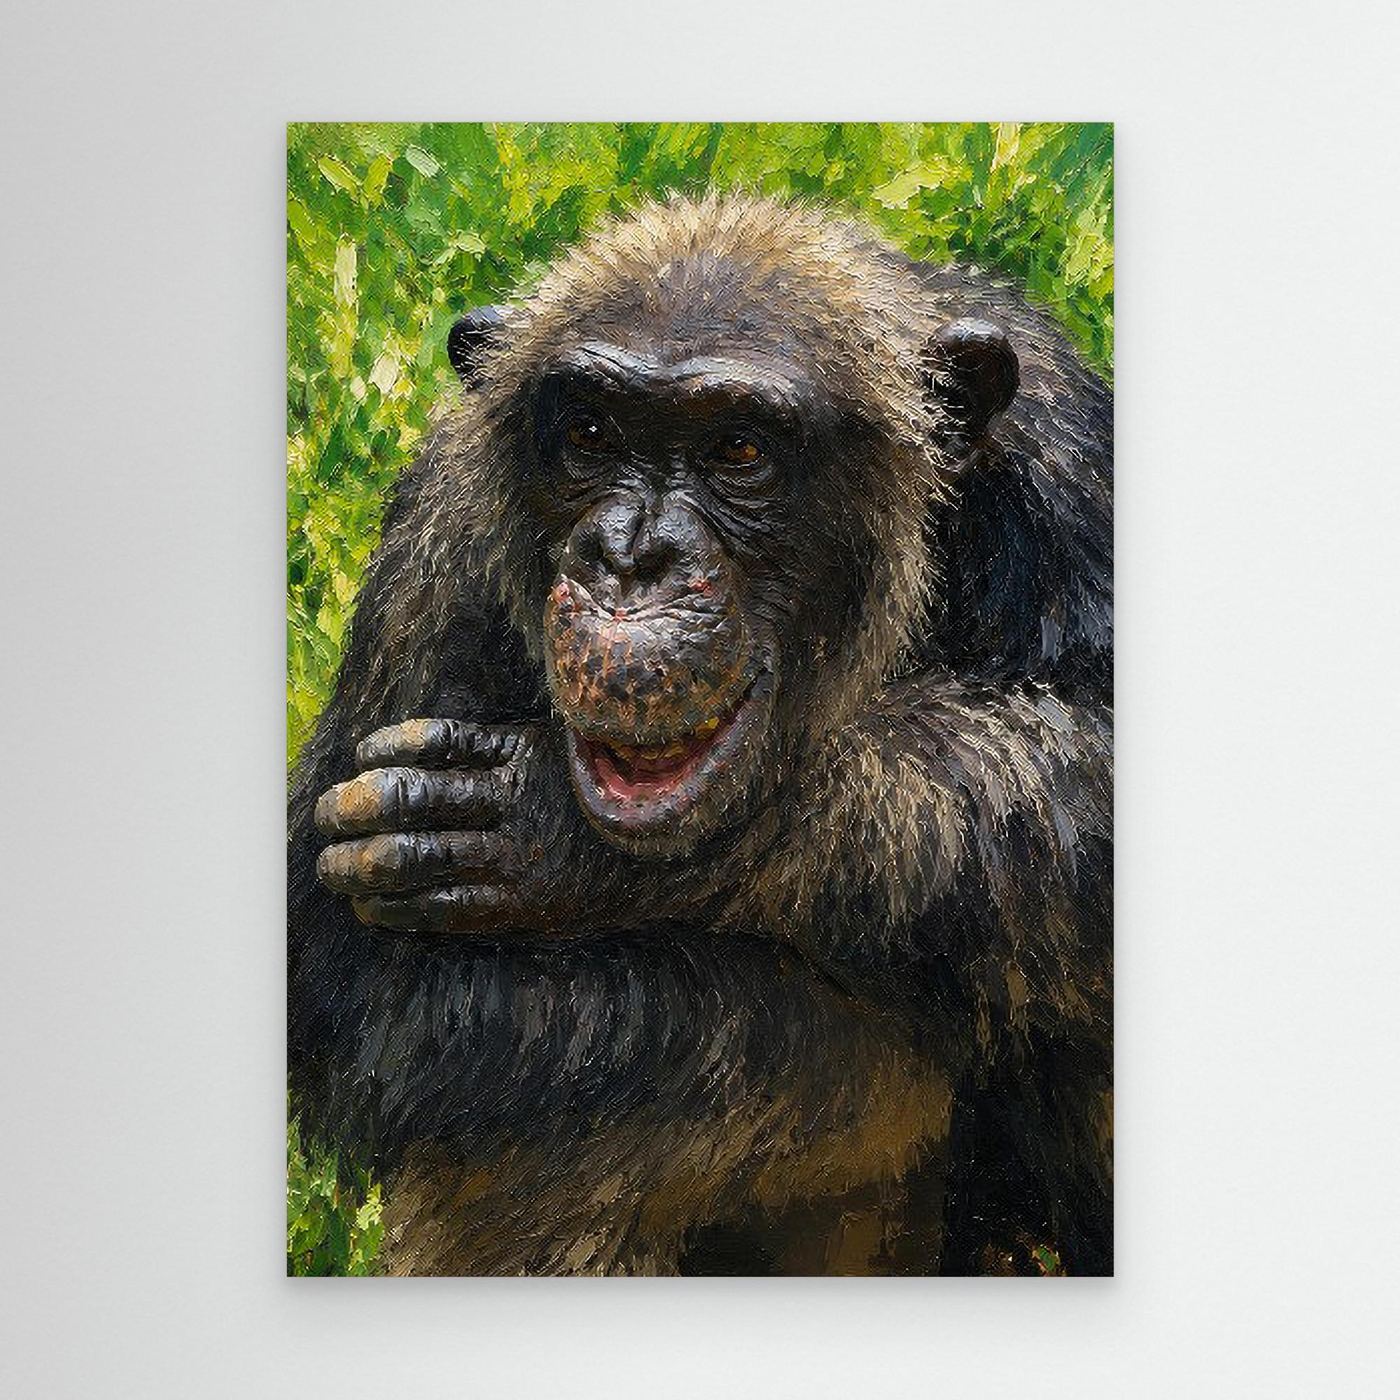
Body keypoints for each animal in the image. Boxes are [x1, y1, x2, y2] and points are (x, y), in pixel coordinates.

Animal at [287, 193, 1112, 1275]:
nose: (630, 555)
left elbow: (1089, 767)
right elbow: (370, 983)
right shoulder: (435, 546)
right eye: (589, 436)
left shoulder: (1068, 465)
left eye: (739, 452)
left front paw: (547, 832)